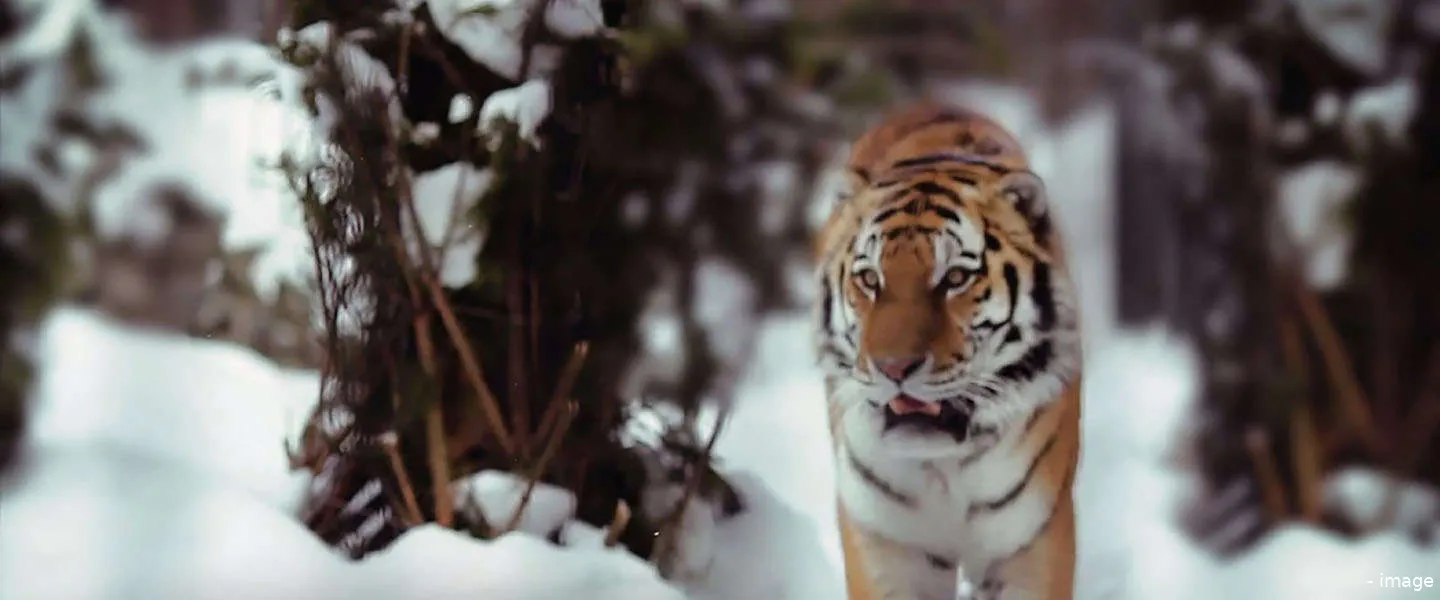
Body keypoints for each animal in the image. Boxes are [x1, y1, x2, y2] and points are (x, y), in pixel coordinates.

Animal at [813, 101, 1083, 600]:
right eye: (870, 279)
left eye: (955, 278)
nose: (894, 367)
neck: (945, 468)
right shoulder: (886, 543)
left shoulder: (1030, 543)